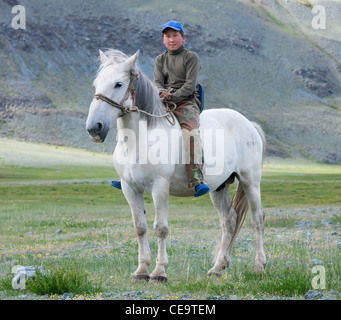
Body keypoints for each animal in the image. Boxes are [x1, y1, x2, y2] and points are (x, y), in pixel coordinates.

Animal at [85, 49, 266, 282]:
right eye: (96, 83)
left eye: (118, 84)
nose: (94, 128)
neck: (139, 140)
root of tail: (248, 124)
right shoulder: (129, 188)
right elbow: (140, 227)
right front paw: (141, 271)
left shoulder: (159, 187)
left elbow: (161, 228)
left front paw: (159, 272)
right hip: (219, 187)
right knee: (229, 221)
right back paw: (217, 268)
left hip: (250, 180)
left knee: (257, 219)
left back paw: (259, 266)